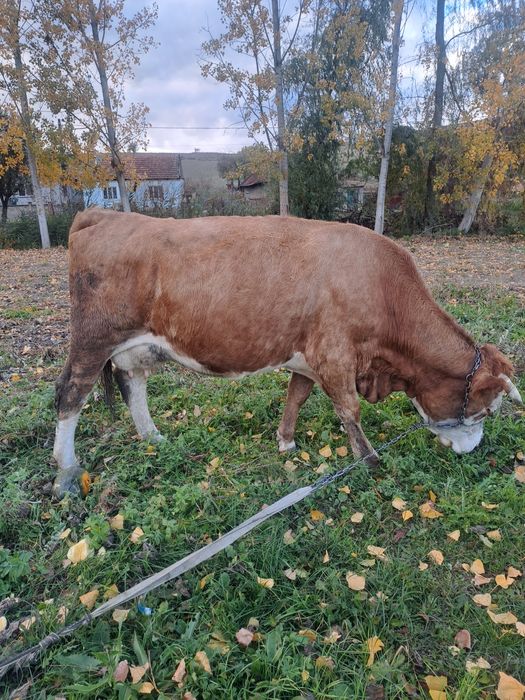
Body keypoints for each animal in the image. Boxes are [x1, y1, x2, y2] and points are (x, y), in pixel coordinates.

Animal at [52, 209, 522, 496]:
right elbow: (349, 409)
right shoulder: (335, 354)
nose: (473, 450)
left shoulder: (310, 357)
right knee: (70, 395)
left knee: (133, 385)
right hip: (92, 340)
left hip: (133, 345)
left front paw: (286, 442)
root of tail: (105, 215)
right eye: (485, 410)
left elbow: (296, 396)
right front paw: (370, 462)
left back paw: (153, 437)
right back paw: (67, 471)